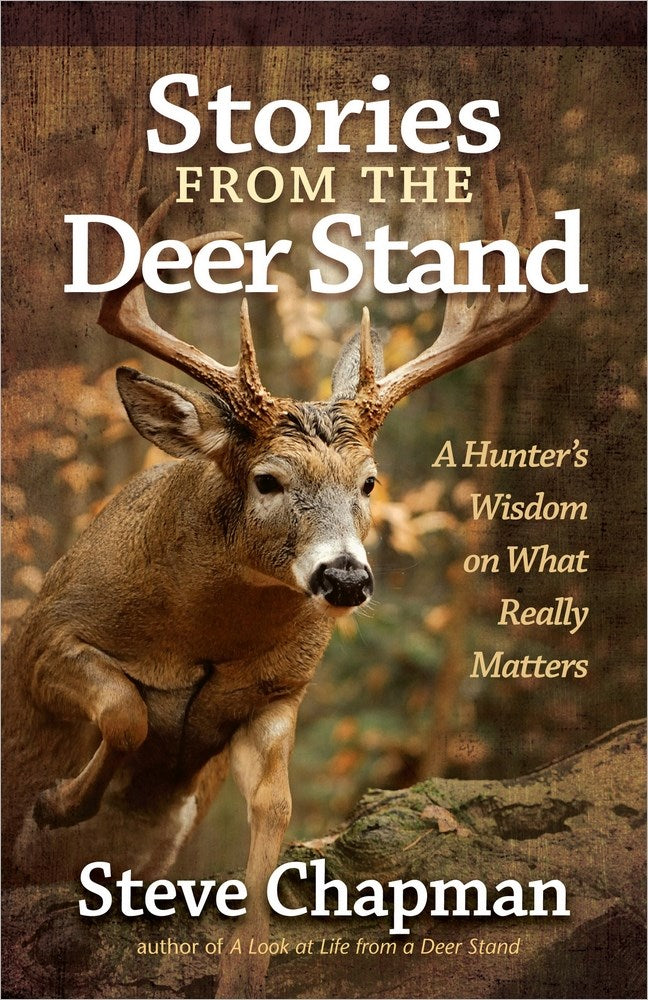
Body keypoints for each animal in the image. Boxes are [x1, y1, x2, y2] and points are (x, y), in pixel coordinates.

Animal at [2, 159, 557, 998]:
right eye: (267, 479)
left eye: (369, 482)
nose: (345, 579)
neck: (199, 636)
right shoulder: (45, 639)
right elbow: (127, 711)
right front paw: (52, 807)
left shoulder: (277, 693)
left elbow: (276, 807)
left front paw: (247, 966)